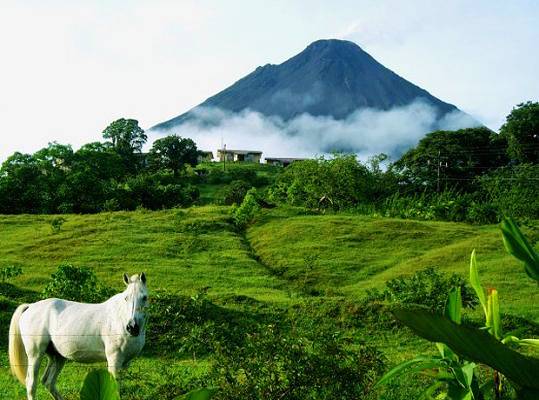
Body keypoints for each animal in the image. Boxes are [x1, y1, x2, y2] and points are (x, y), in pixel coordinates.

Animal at [8, 274, 148, 398]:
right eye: (126, 298)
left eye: (145, 297)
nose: (132, 327)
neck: (119, 318)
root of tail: (30, 306)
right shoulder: (114, 360)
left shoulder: (125, 363)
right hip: (35, 354)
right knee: (31, 384)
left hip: (57, 357)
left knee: (48, 382)